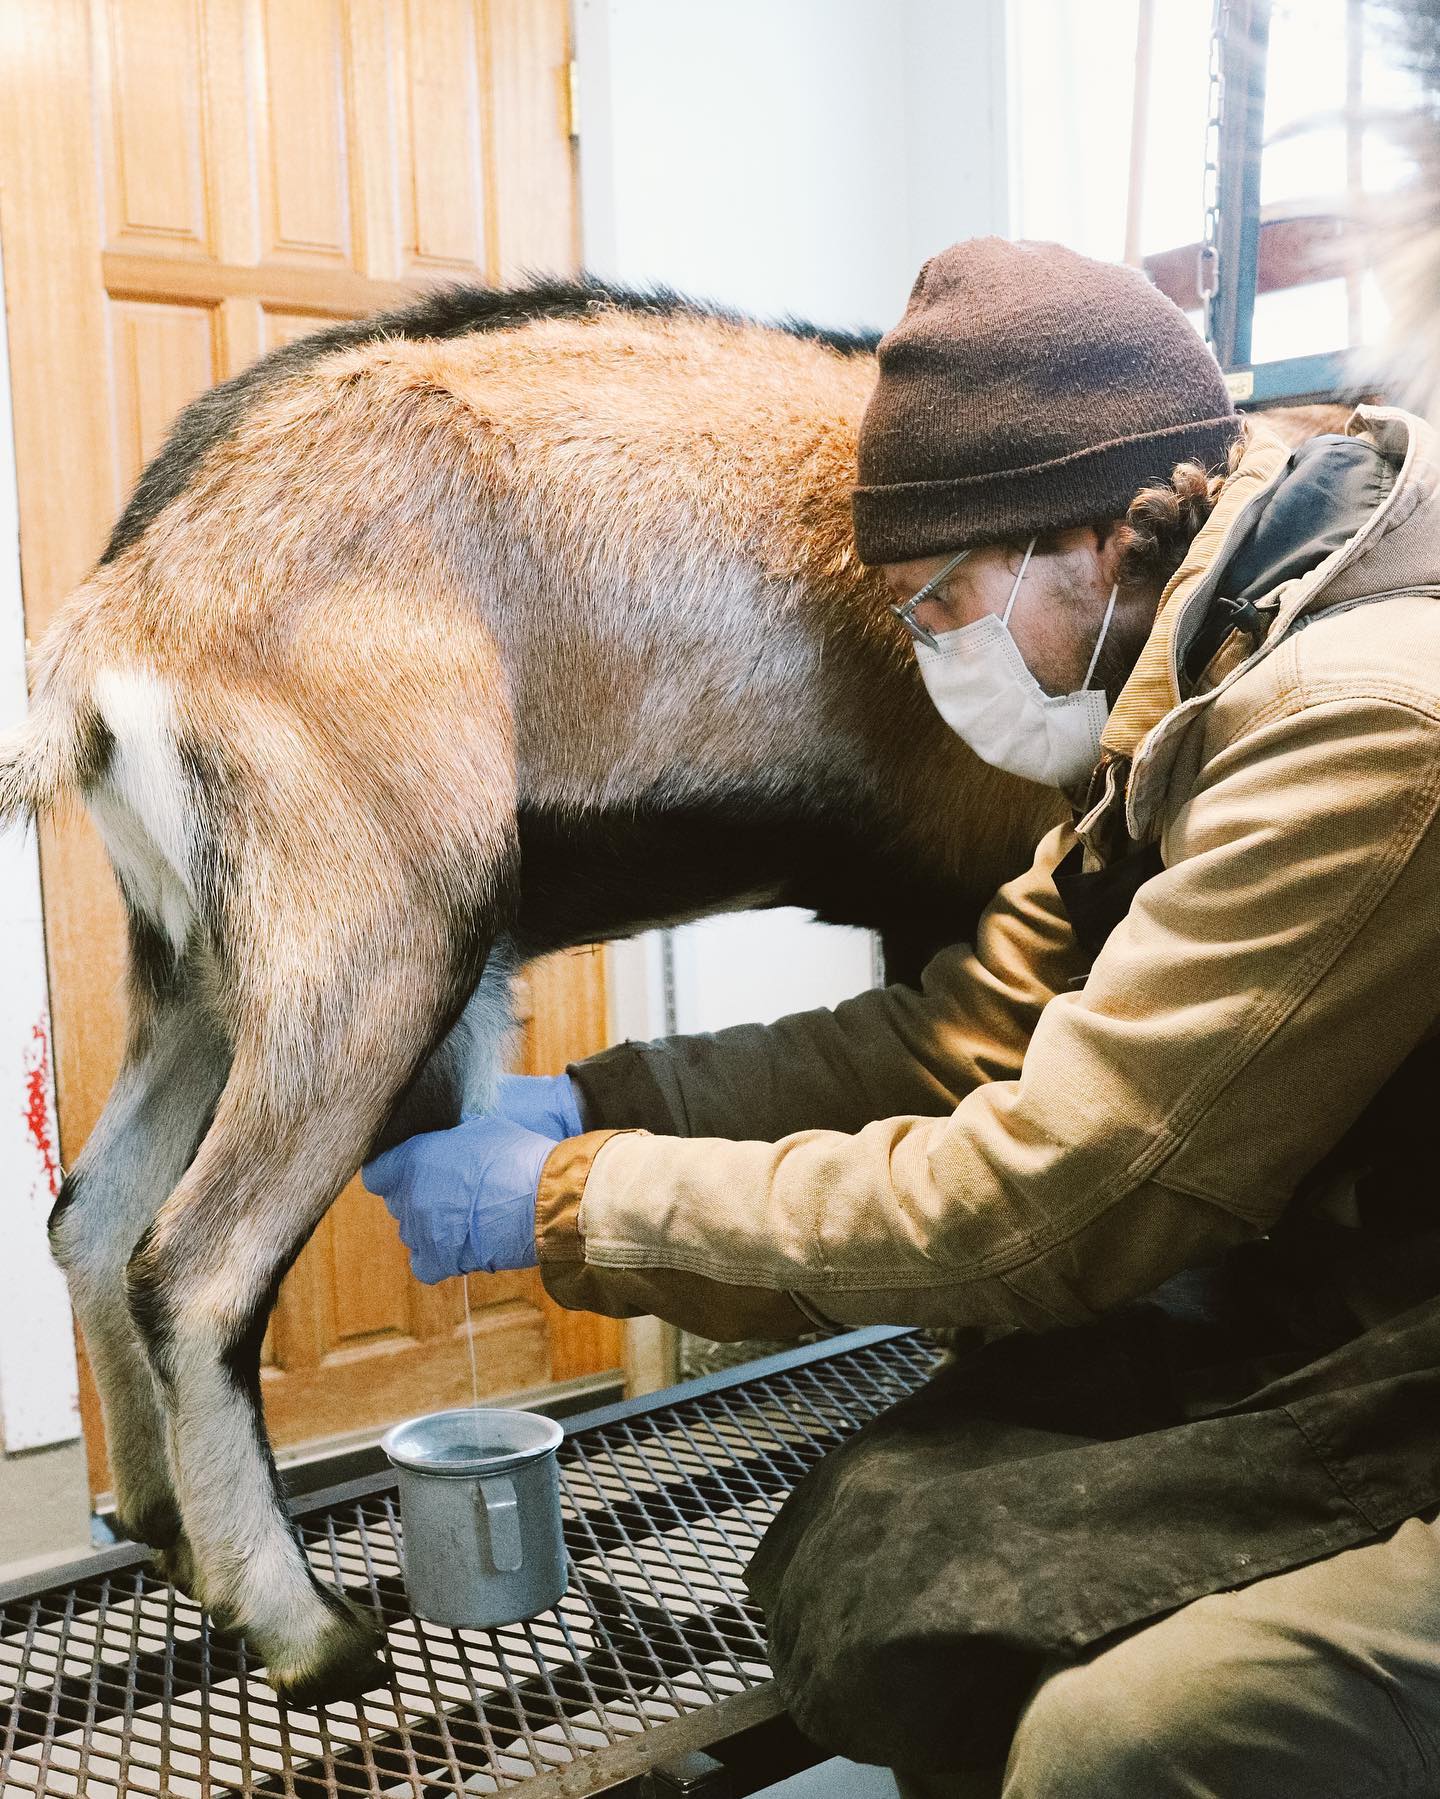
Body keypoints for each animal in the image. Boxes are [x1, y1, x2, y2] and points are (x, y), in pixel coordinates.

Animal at [5, 279, 1067, 1704]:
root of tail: (119, 622)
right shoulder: (967, 883)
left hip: (195, 967)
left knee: (96, 1209)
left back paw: (167, 1527)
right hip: (374, 944)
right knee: (193, 1265)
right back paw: (306, 1629)